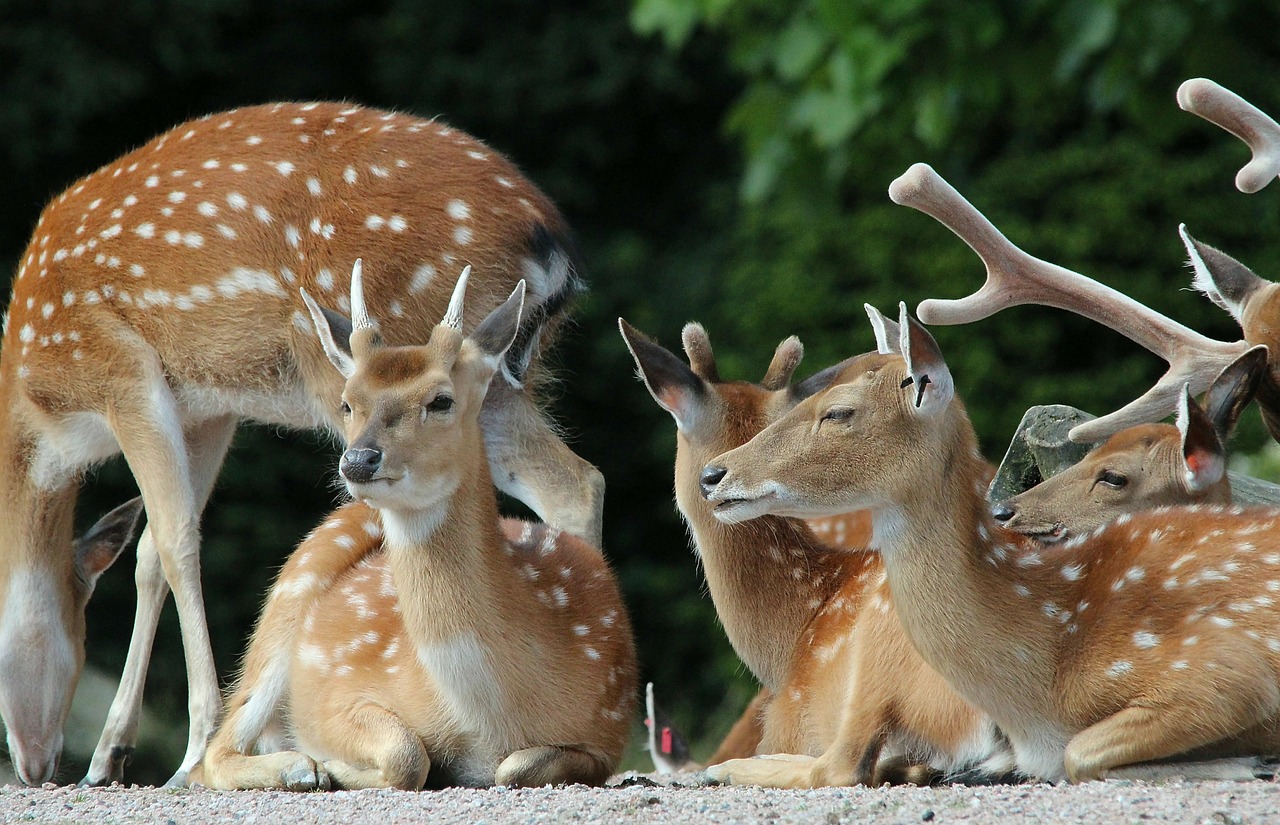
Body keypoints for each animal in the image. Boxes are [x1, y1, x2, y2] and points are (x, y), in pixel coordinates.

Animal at [199, 266, 634, 793]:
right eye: (347, 403)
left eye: (441, 400)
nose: (359, 459)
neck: (491, 719)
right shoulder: (337, 696)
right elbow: (407, 754)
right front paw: (332, 766)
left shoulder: (606, 731)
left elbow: (516, 766)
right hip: (292, 587)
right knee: (218, 748)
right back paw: (299, 766)